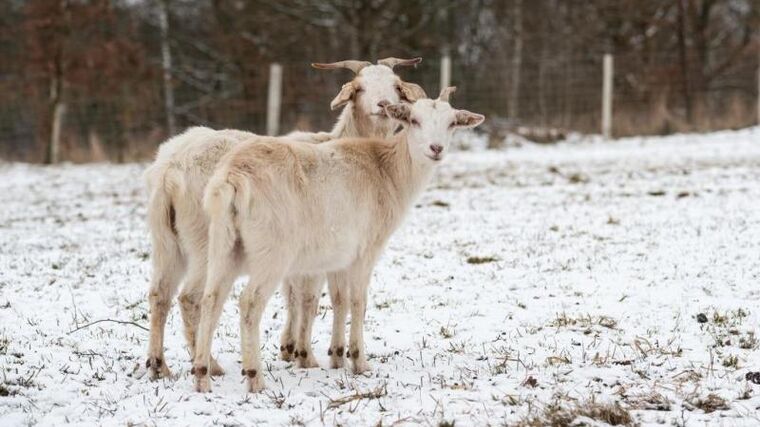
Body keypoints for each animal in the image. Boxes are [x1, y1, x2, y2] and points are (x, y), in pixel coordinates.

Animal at [144, 57, 428, 382]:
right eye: (360, 88)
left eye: (396, 85)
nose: (382, 105)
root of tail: (170, 170)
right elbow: (311, 299)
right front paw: (307, 354)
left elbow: (312, 297)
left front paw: (296, 349)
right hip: (206, 242)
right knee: (191, 298)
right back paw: (209, 365)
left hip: (168, 242)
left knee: (159, 294)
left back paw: (159, 365)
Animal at [193, 88, 484, 394]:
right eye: (414, 120)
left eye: (452, 123)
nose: (436, 149)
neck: (389, 173)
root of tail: (232, 178)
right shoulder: (366, 250)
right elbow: (358, 301)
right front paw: (359, 361)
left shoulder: (338, 257)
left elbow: (339, 300)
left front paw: (336, 357)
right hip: (271, 252)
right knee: (249, 302)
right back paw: (255, 377)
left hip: (222, 244)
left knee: (210, 300)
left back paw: (202, 376)